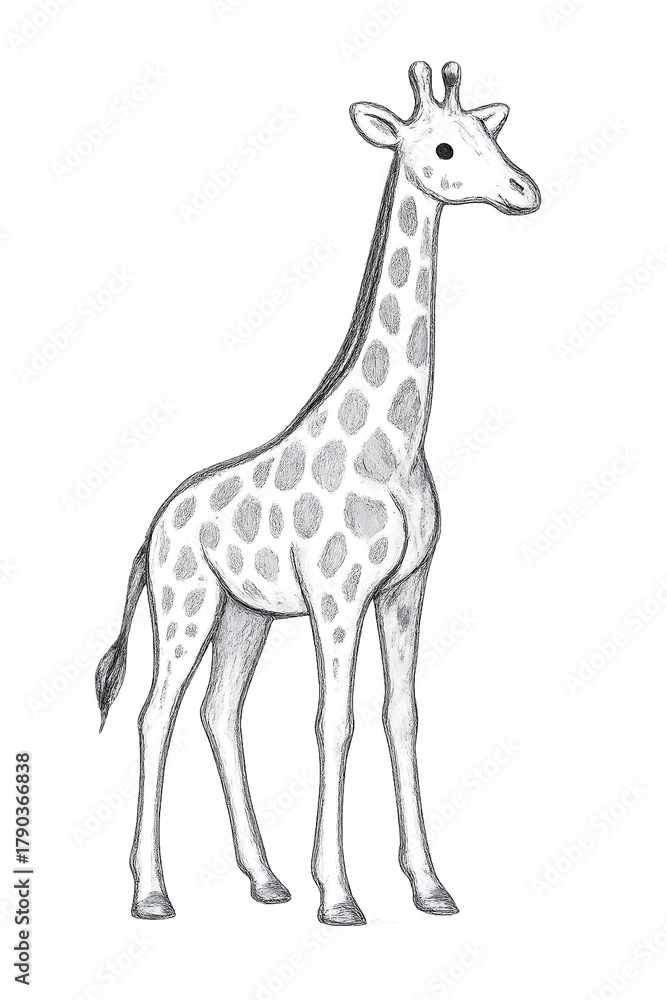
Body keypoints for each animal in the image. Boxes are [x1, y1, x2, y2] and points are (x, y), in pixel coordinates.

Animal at [96, 60, 540, 926]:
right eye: (443, 146)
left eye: (489, 132)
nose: (523, 190)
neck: (393, 442)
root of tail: (153, 528)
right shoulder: (338, 595)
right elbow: (333, 720)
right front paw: (338, 896)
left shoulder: (404, 588)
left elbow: (400, 715)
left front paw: (428, 887)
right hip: (187, 603)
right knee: (155, 713)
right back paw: (153, 893)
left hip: (245, 614)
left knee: (218, 712)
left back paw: (265, 880)